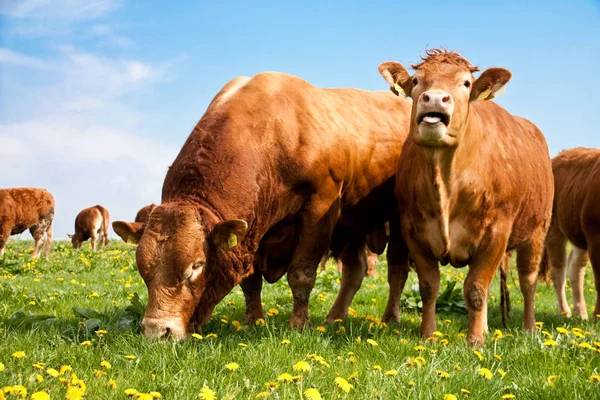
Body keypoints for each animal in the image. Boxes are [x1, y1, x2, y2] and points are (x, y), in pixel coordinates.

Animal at [112, 71, 412, 338]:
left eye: (196, 266)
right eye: (143, 269)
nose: (156, 331)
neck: (272, 137)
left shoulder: (319, 209)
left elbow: (301, 273)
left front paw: (298, 324)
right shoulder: (254, 229)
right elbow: (251, 281)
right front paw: (253, 320)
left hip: (398, 221)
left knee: (397, 270)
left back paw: (390, 319)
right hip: (353, 223)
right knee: (354, 271)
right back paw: (334, 318)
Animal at [380, 48, 552, 346]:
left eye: (466, 83)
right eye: (416, 81)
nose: (435, 98)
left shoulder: (497, 232)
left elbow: (475, 288)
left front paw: (474, 342)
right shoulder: (412, 230)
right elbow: (429, 286)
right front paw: (429, 334)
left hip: (537, 231)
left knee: (528, 281)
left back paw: (529, 328)